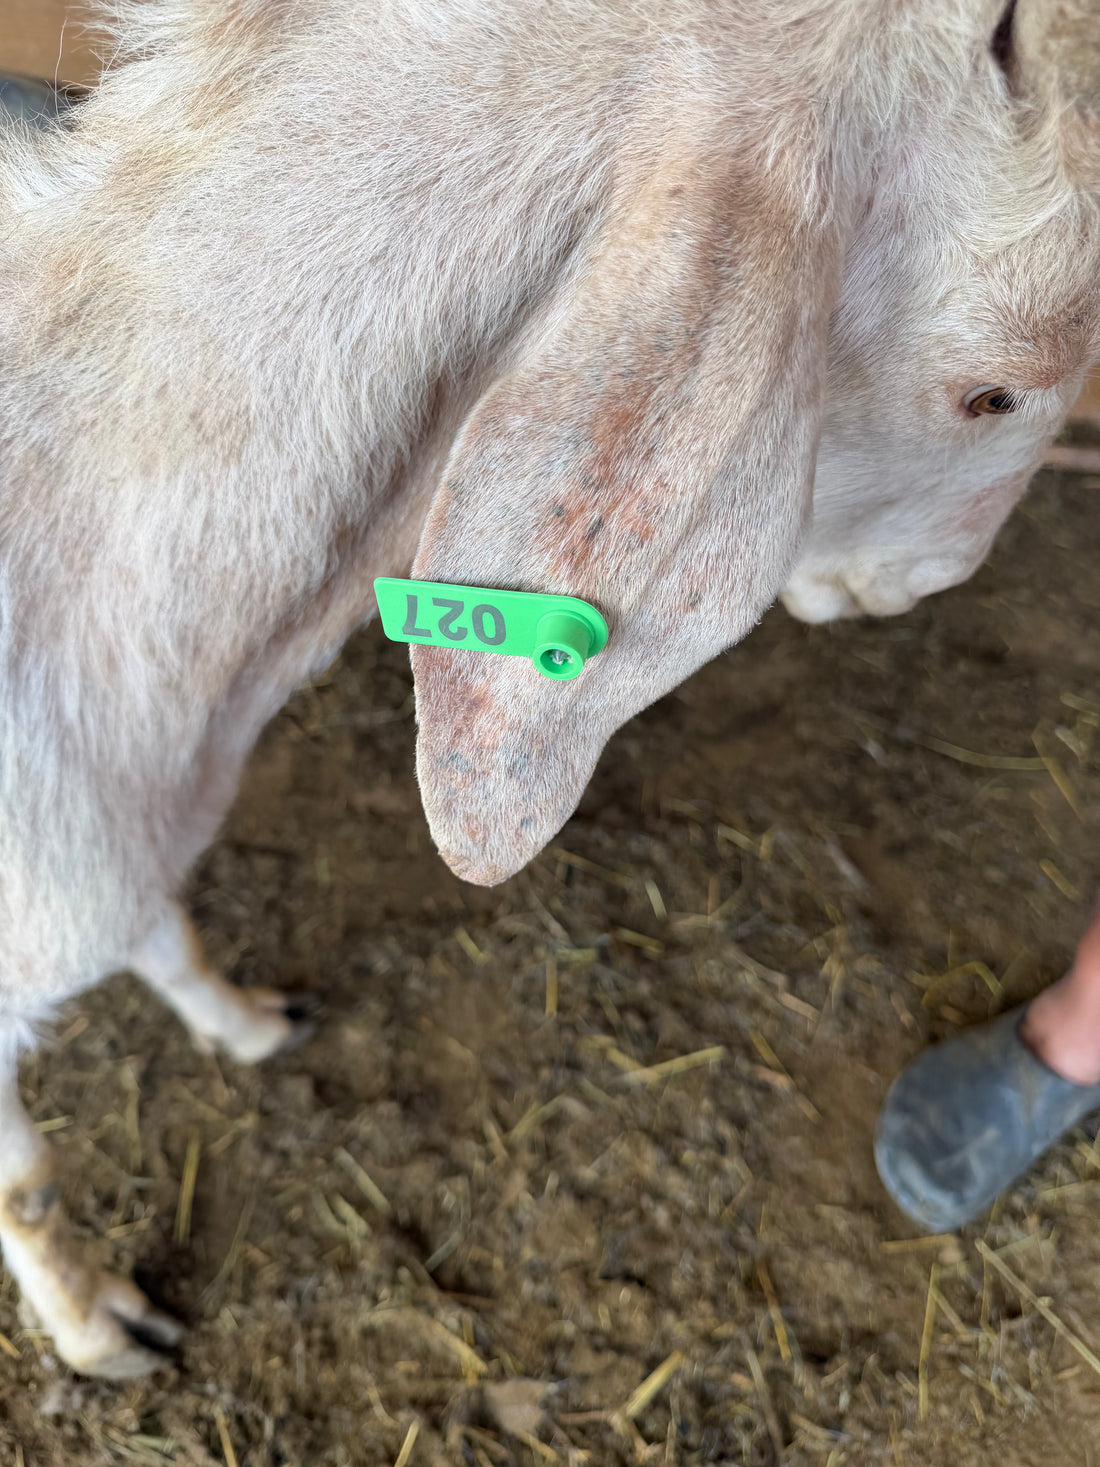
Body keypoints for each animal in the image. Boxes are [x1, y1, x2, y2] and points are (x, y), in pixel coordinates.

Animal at [0, 0, 1097, 1377]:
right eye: (992, 390)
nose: (923, 582)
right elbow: (25, 1182)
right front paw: (100, 1328)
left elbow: (169, 933)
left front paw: (250, 1025)